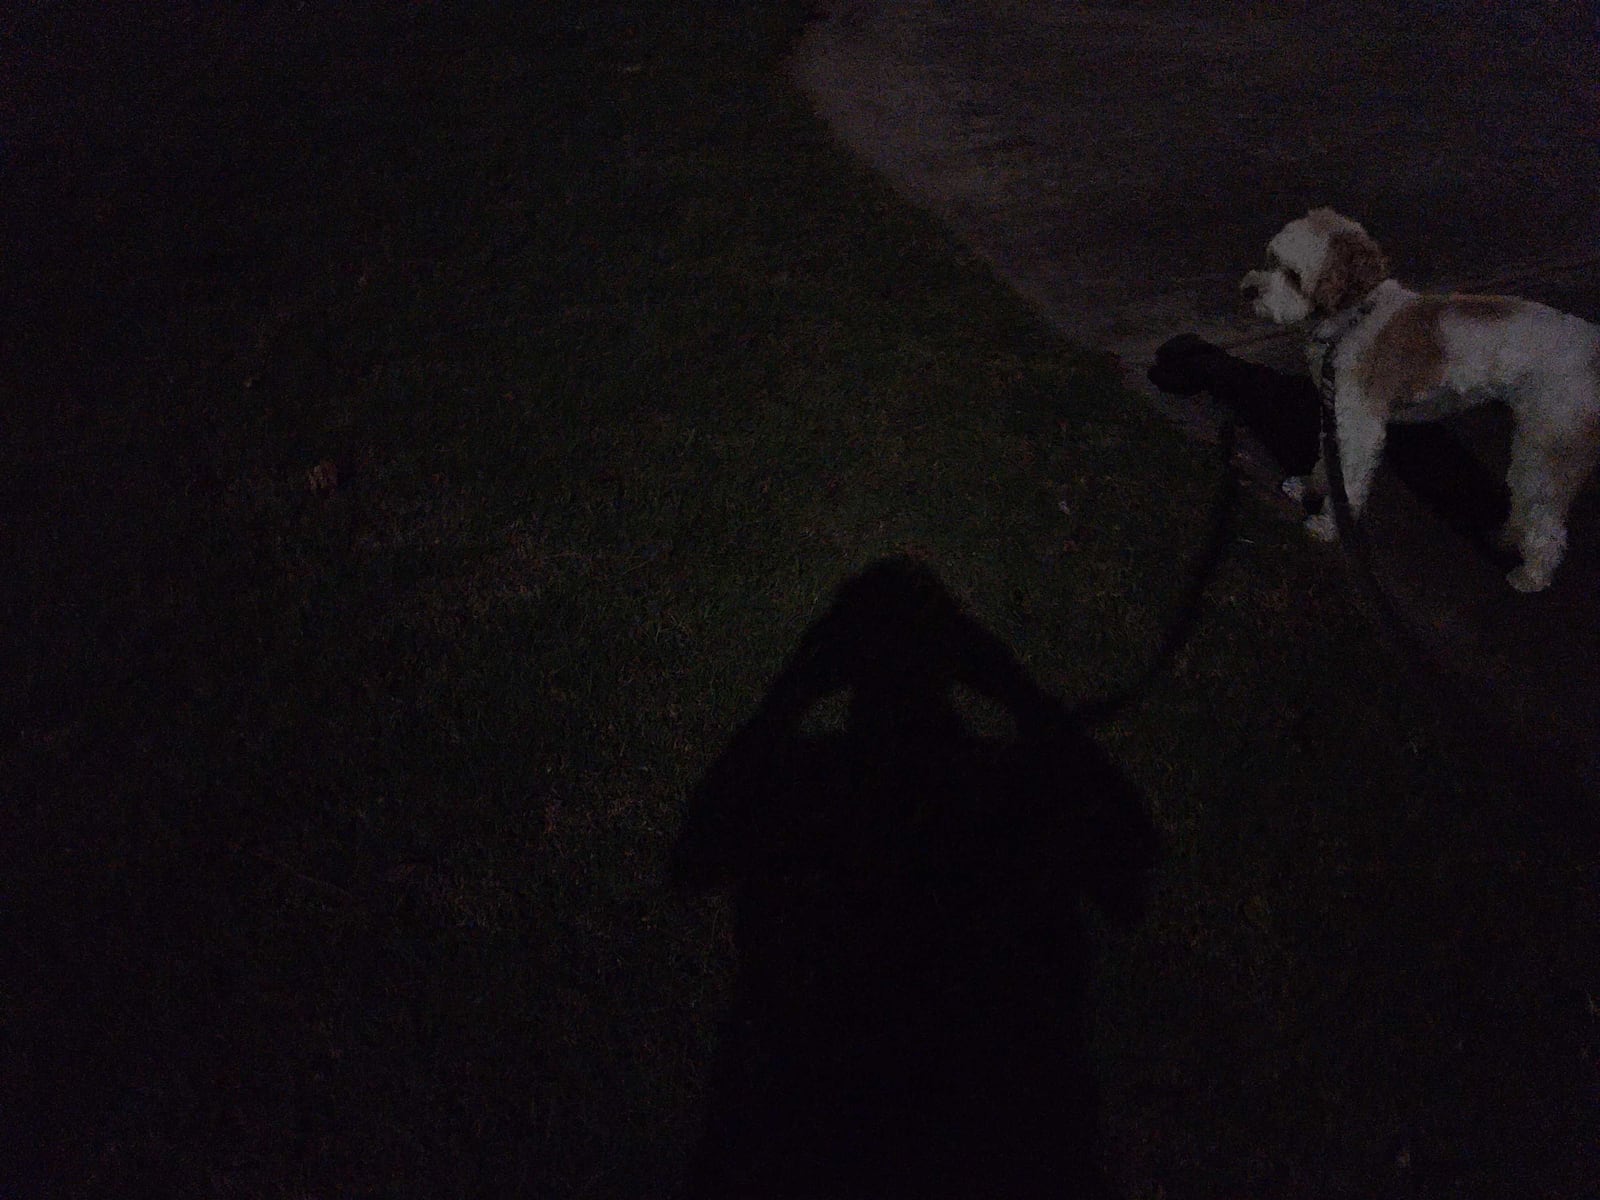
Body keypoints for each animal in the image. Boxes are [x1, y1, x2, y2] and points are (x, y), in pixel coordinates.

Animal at [1235, 212, 1600, 598]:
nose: (1248, 290)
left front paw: (1326, 526)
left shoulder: (1360, 426)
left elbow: (1348, 481)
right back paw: (1505, 539)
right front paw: (1310, 487)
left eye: (1293, 276)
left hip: (1549, 448)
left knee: (1547, 522)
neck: (1353, 319)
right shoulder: (1336, 415)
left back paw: (1531, 576)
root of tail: (1592, 343)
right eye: (1272, 260)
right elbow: (1326, 464)